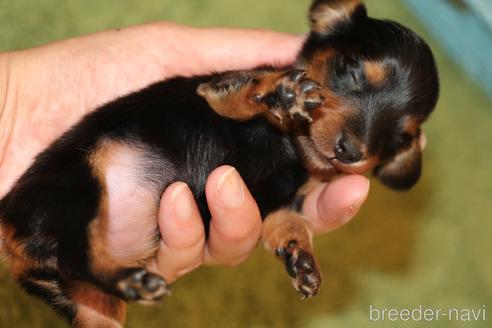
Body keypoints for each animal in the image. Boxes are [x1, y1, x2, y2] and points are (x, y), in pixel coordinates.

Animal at [0, 0, 438, 326]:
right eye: (351, 72)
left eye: (399, 137)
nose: (350, 152)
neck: (293, 153)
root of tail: (8, 224)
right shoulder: (217, 90)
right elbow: (249, 92)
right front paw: (283, 95)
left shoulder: (278, 208)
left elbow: (290, 224)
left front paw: (303, 262)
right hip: (81, 185)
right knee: (77, 253)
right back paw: (133, 278)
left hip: (90, 305)